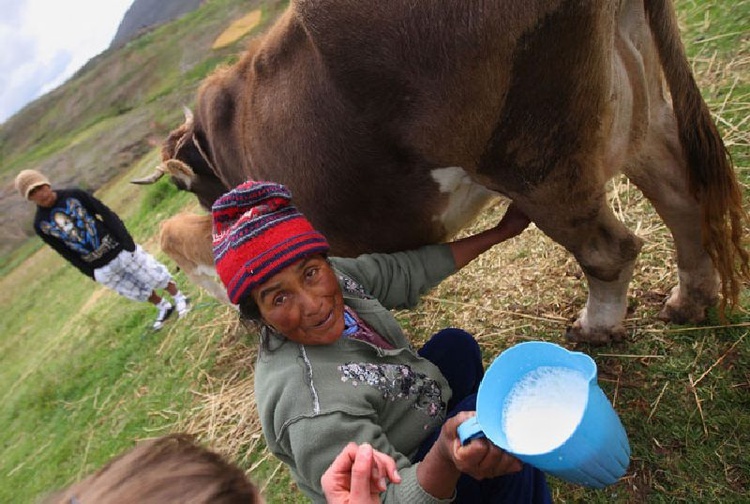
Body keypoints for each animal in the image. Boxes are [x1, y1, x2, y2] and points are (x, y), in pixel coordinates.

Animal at [135, 0, 750, 342]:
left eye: (191, 189)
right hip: (635, 103)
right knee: (682, 196)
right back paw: (690, 300)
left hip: (537, 158)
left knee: (608, 249)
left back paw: (597, 326)